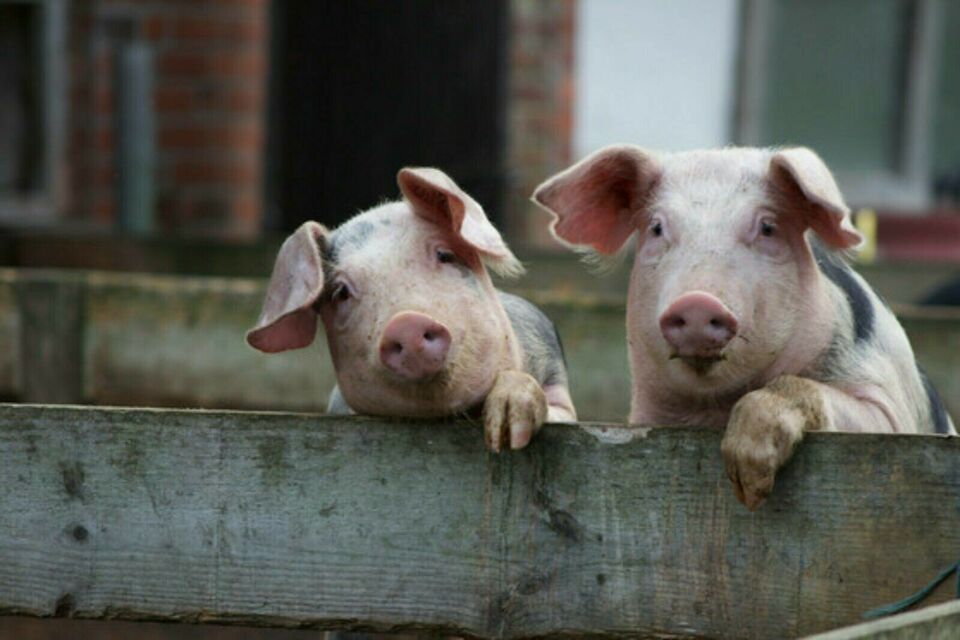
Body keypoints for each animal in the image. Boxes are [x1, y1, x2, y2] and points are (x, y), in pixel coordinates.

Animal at [536, 145, 956, 510]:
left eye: (768, 227)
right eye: (656, 228)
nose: (697, 301)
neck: (712, 410)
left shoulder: (892, 414)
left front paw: (749, 485)